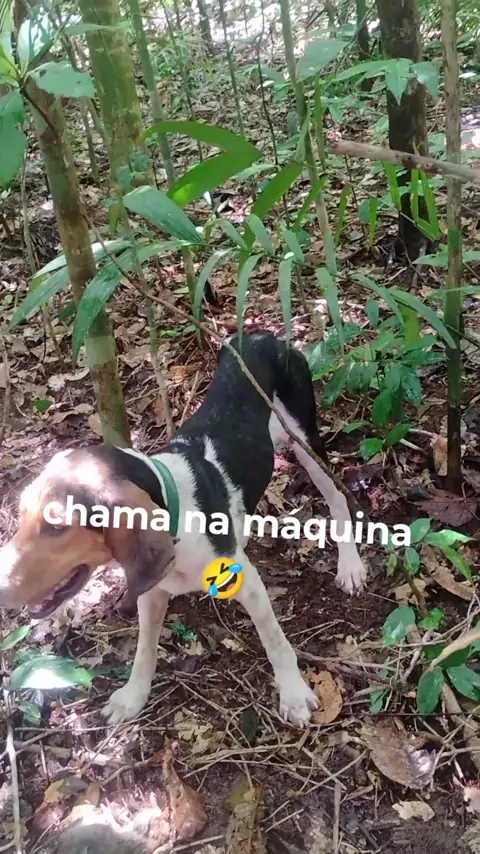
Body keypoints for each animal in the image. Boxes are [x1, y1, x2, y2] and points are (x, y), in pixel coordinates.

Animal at [0, 332, 366, 726]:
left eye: (57, 525)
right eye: (21, 513)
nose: (0, 587)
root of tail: (259, 335)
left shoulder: (250, 586)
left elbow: (275, 641)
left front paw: (294, 693)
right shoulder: (152, 591)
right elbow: (144, 649)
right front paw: (133, 696)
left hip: (304, 439)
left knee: (338, 499)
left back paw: (350, 566)